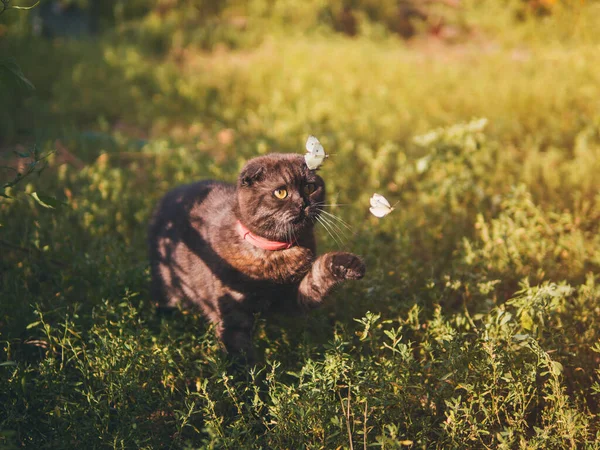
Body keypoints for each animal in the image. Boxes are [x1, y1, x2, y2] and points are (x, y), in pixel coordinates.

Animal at [150, 151, 366, 362]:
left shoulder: (294, 297)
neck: (275, 254)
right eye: (281, 192)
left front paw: (350, 265)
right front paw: (251, 374)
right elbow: (240, 352)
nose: (303, 203)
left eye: (309, 187)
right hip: (170, 288)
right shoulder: (233, 312)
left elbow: (319, 274)